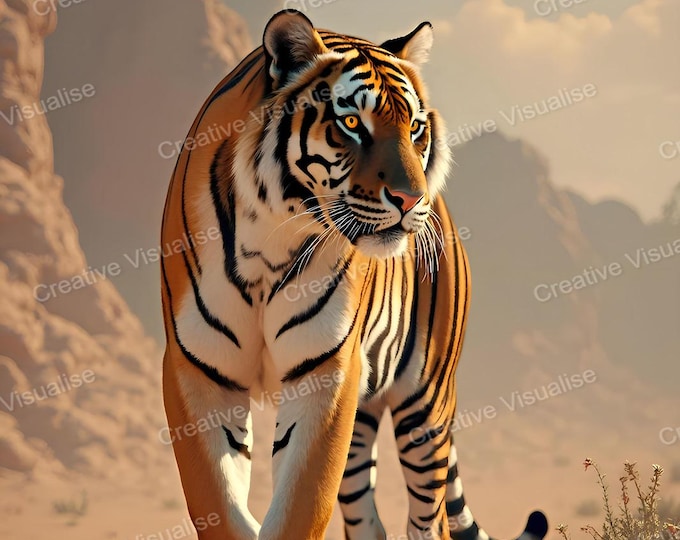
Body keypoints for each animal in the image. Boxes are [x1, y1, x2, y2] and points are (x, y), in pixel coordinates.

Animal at [160, 9, 548, 540]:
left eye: (416, 128)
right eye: (350, 124)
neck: (269, 241)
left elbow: (300, 506)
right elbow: (218, 503)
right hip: (362, 415)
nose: (412, 199)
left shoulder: (325, 373)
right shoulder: (197, 373)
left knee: (430, 519)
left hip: (424, 404)